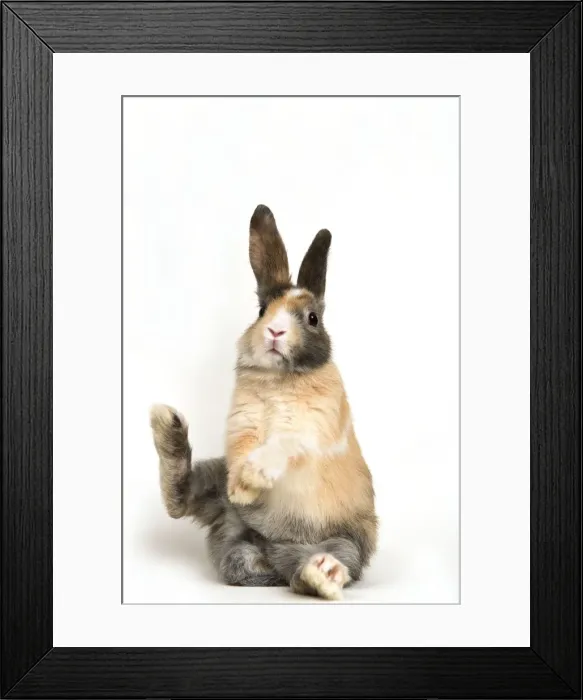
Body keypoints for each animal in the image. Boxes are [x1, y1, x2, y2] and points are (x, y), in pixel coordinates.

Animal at [150, 204, 378, 600]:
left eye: (313, 318)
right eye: (262, 310)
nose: (275, 331)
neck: (280, 379)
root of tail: (272, 549)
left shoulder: (310, 432)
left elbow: (282, 447)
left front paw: (254, 476)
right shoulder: (242, 427)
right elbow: (244, 451)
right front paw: (242, 490)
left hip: (344, 540)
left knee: (315, 572)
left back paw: (322, 573)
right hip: (216, 484)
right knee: (179, 499)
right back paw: (167, 424)